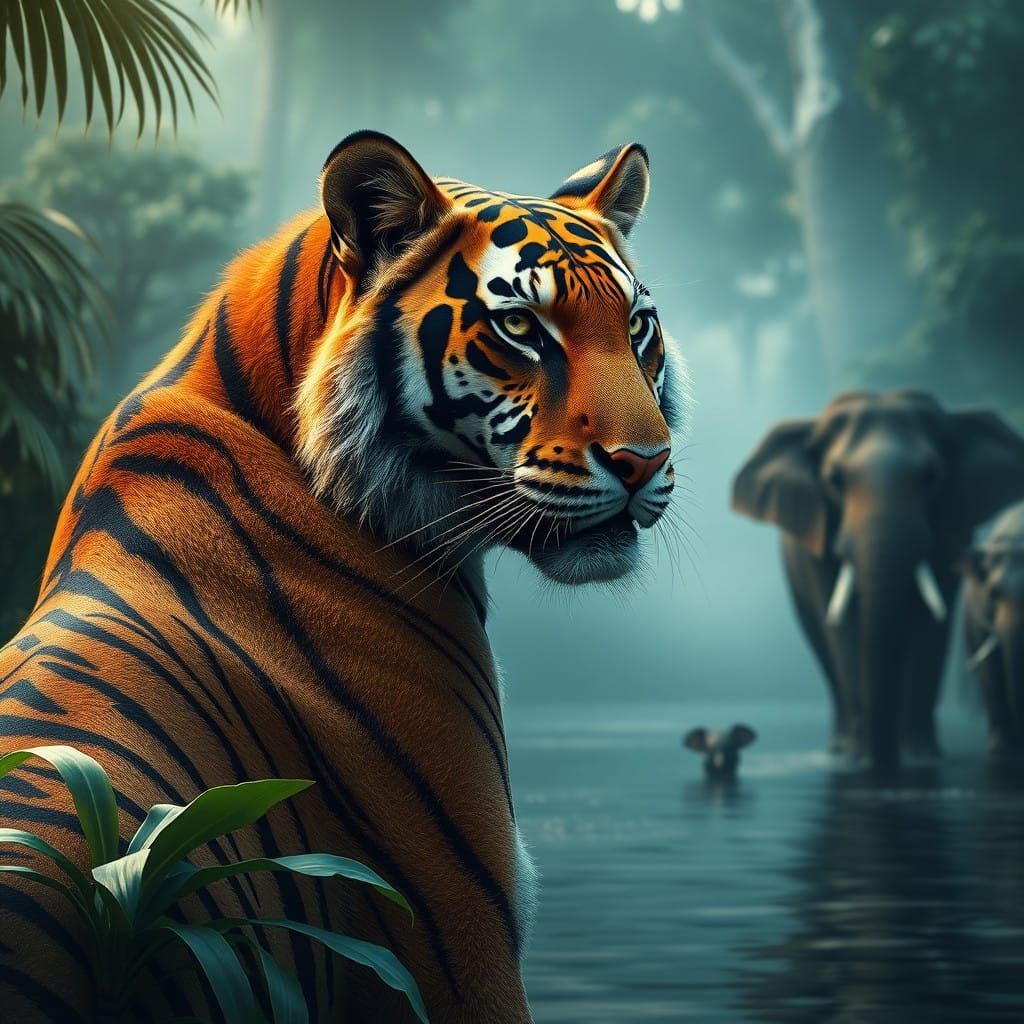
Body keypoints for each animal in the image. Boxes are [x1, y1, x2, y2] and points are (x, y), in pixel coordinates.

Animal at [732, 390, 1024, 770]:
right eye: (835, 481)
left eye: (931, 477)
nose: (880, 760)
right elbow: (842, 627)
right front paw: (859, 757)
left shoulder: (951, 527)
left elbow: (930, 623)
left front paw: (920, 756)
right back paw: (841, 749)